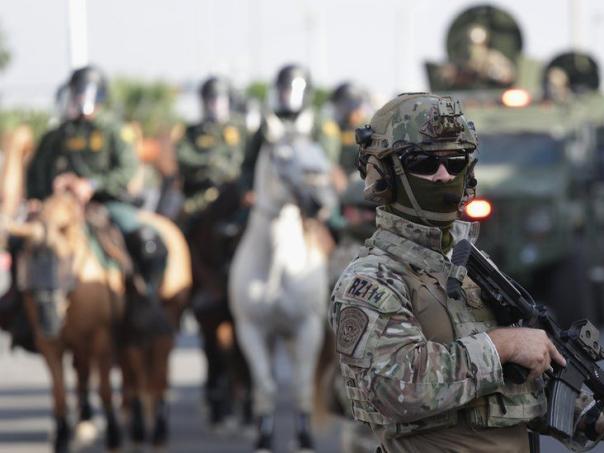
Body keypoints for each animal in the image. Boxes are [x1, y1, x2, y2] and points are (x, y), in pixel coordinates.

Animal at [228, 133, 336, 451]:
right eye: (282, 156)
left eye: (316, 149)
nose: (320, 202)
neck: (277, 265)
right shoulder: (250, 329)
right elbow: (265, 385)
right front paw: (263, 437)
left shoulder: (307, 327)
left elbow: (301, 383)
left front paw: (305, 439)